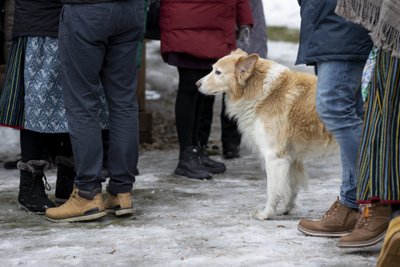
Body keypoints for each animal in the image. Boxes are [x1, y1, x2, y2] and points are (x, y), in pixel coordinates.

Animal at [197, 48, 338, 220]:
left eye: (218, 72)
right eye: (212, 69)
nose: (196, 84)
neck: (264, 93)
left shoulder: (273, 156)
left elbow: (273, 190)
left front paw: (266, 214)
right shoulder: (290, 157)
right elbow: (289, 188)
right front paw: (285, 209)